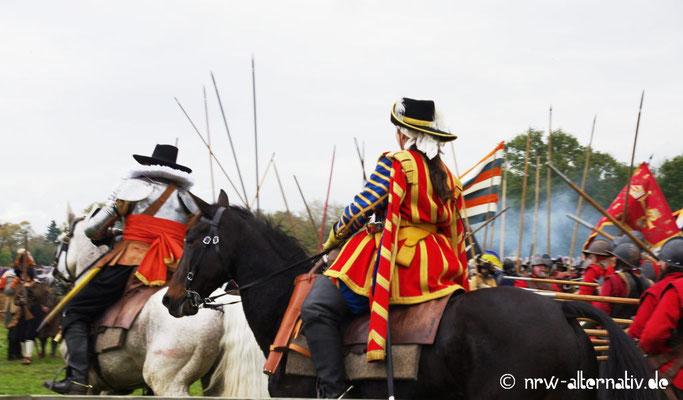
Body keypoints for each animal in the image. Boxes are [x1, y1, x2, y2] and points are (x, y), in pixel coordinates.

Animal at [56, 206, 270, 396]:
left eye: (60, 241)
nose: (53, 279)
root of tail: (219, 308)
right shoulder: (113, 387)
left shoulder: (91, 387)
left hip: (167, 381)